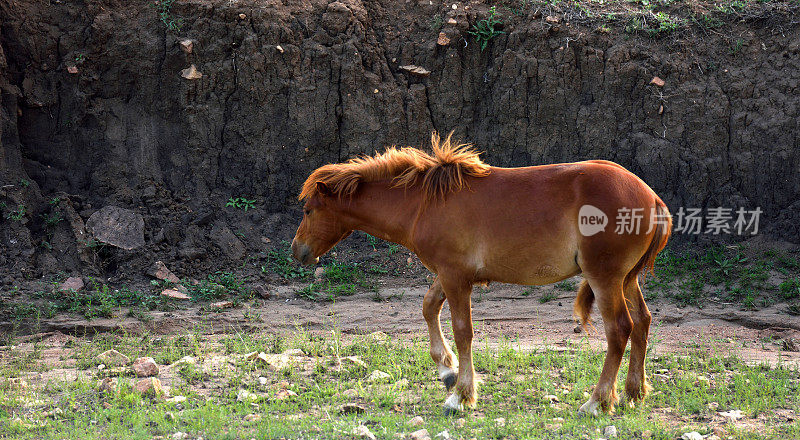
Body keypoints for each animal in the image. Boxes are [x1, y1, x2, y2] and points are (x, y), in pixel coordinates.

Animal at [292, 132, 668, 414]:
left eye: (308, 210)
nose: (298, 251)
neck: (425, 203)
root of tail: (652, 197)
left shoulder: (455, 278)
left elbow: (463, 331)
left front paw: (460, 395)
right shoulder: (449, 274)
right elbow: (429, 307)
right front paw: (446, 369)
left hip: (605, 279)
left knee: (620, 330)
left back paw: (597, 402)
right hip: (627, 279)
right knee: (643, 322)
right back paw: (634, 392)